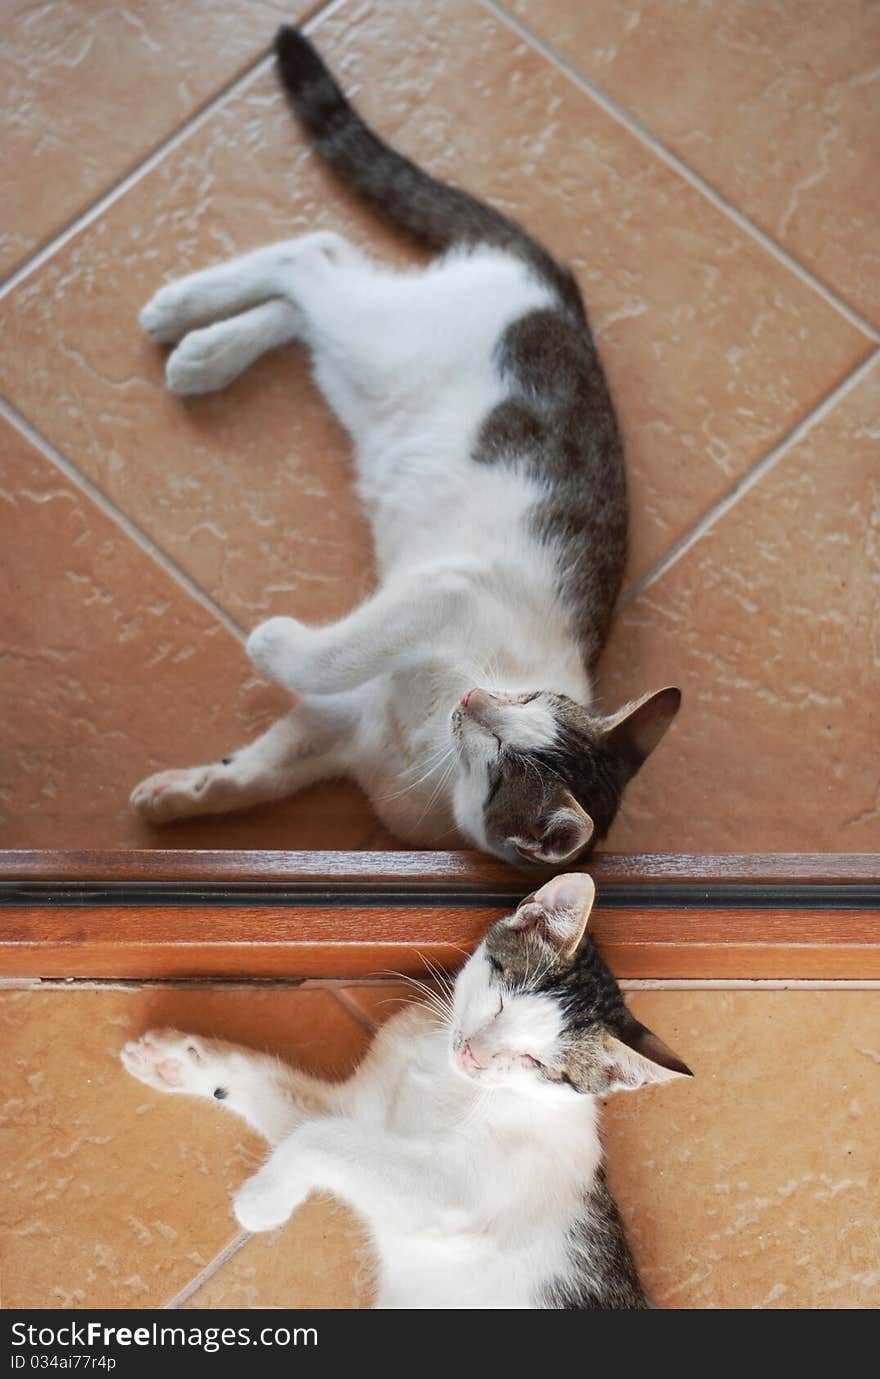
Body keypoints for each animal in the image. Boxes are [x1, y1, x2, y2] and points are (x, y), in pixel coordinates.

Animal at [122, 877, 689, 1307]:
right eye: (502, 1003)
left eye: (539, 1063)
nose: (476, 1054)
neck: (443, 1072)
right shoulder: (355, 1110)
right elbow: (304, 1119)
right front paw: (175, 1063)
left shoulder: (449, 1197)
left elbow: (319, 1139)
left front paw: (262, 1201)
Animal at [131, 26, 684, 866]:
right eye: (523, 699)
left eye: (502, 758)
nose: (473, 698)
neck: (422, 748)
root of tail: (555, 285)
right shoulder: (441, 593)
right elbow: (340, 648)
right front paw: (272, 643)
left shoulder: (337, 728)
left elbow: (257, 769)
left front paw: (183, 794)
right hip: (381, 344)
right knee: (315, 255)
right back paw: (182, 311)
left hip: (364, 372)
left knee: (314, 291)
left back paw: (204, 350)